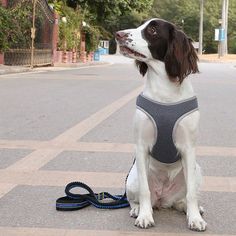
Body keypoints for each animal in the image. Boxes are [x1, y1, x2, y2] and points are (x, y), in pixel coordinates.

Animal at [115, 18, 206, 230]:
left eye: (153, 30)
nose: (118, 34)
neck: (166, 91)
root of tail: (164, 199)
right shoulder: (141, 147)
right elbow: (145, 192)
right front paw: (144, 216)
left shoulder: (189, 148)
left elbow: (191, 194)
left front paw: (194, 218)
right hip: (133, 177)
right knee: (135, 198)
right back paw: (137, 209)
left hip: (197, 170)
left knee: (184, 198)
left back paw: (190, 208)